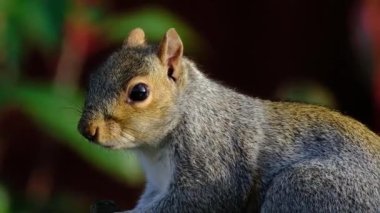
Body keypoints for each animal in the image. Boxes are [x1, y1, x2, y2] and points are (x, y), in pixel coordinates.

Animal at [78, 28, 380, 213]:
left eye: (139, 92)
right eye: (94, 78)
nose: (86, 129)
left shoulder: (211, 162)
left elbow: (195, 201)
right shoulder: (157, 184)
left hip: (306, 188)